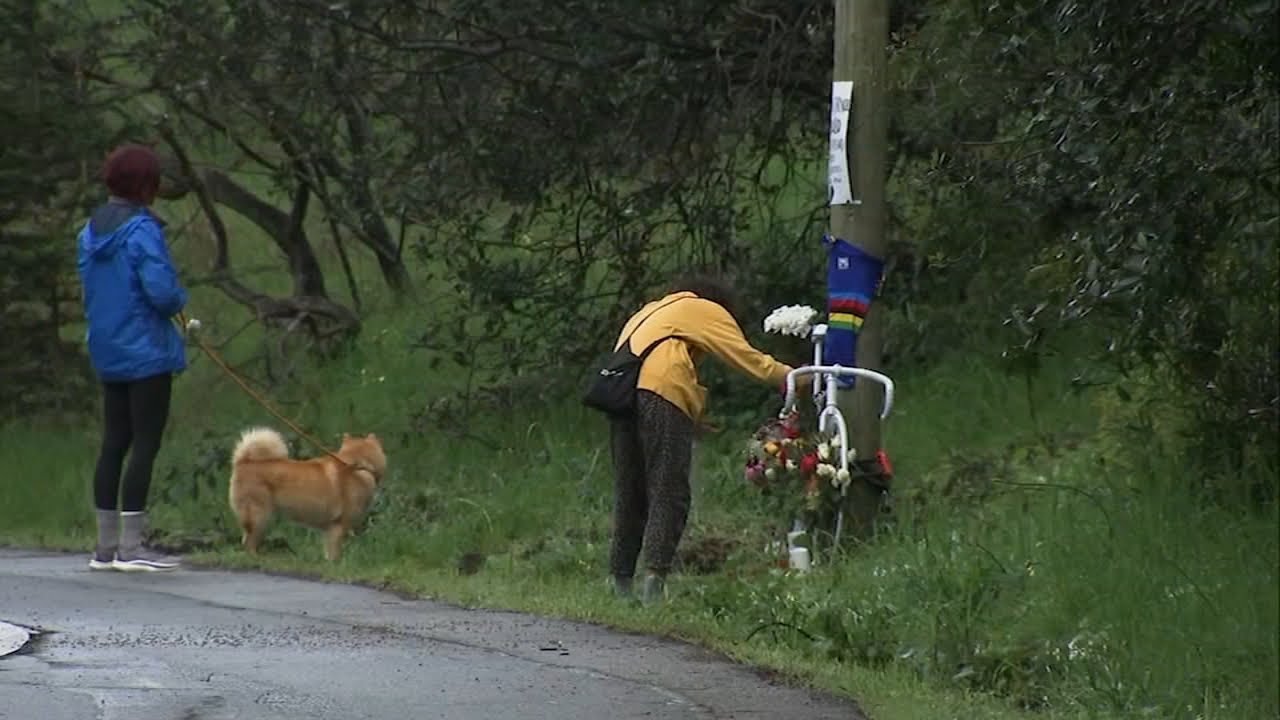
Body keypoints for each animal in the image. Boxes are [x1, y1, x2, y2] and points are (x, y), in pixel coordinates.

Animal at [227, 425, 384, 561]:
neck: (358, 466)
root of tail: (244, 461)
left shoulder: (330, 528)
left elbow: (328, 550)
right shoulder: (339, 525)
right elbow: (336, 552)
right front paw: (336, 564)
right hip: (259, 516)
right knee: (249, 542)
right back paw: (256, 558)